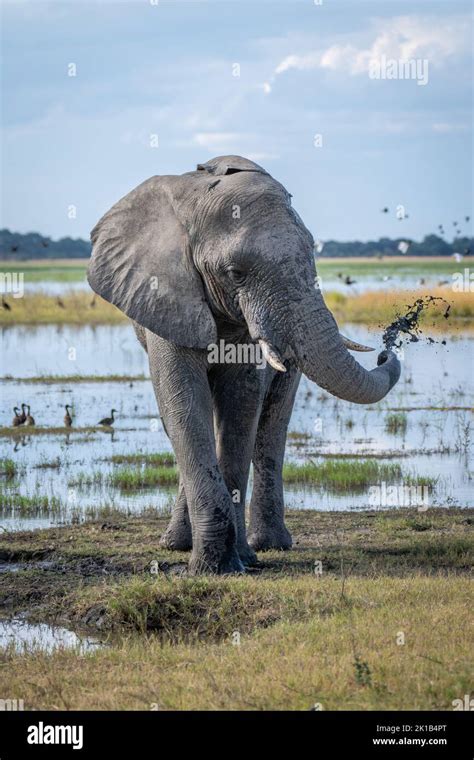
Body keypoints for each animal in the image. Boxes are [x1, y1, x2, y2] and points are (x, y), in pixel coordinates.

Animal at [88, 156, 400, 576]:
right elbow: (183, 404)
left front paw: (233, 562)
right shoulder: (163, 292)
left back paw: (267, 546)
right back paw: (177, 544)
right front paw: (213, 566)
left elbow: (241, 406)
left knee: (272, 425)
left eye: (312, 261)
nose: (387, 350)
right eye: (235, 273)